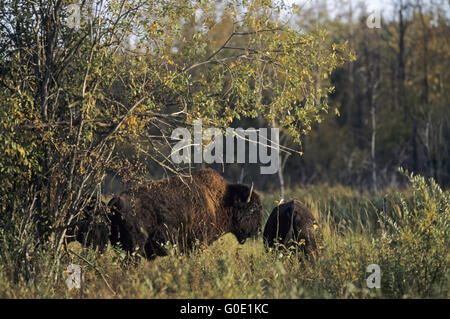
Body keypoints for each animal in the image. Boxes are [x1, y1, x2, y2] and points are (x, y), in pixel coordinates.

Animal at [109, 169, 264, 258]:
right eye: (252, 209)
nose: (258, 230)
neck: (220, 201)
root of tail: (118, 199)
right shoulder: (198, 244)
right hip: (135, 246)